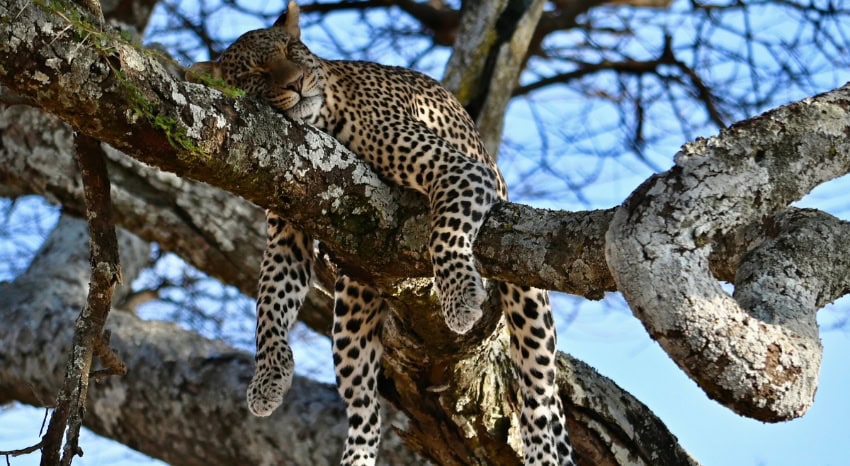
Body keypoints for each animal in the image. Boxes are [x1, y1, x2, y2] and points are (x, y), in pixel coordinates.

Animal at [188, 2, 574, 465]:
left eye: (289, 50)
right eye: (254, 73)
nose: (296, 83)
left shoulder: (459, 169)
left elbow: (445, 233)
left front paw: (460, 297)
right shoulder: (287, 226)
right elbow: (270, 304)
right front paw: (267, 377)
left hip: (527, 302)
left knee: (540, 395)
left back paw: (541, 447)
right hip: (350, 314)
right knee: (364, 410)